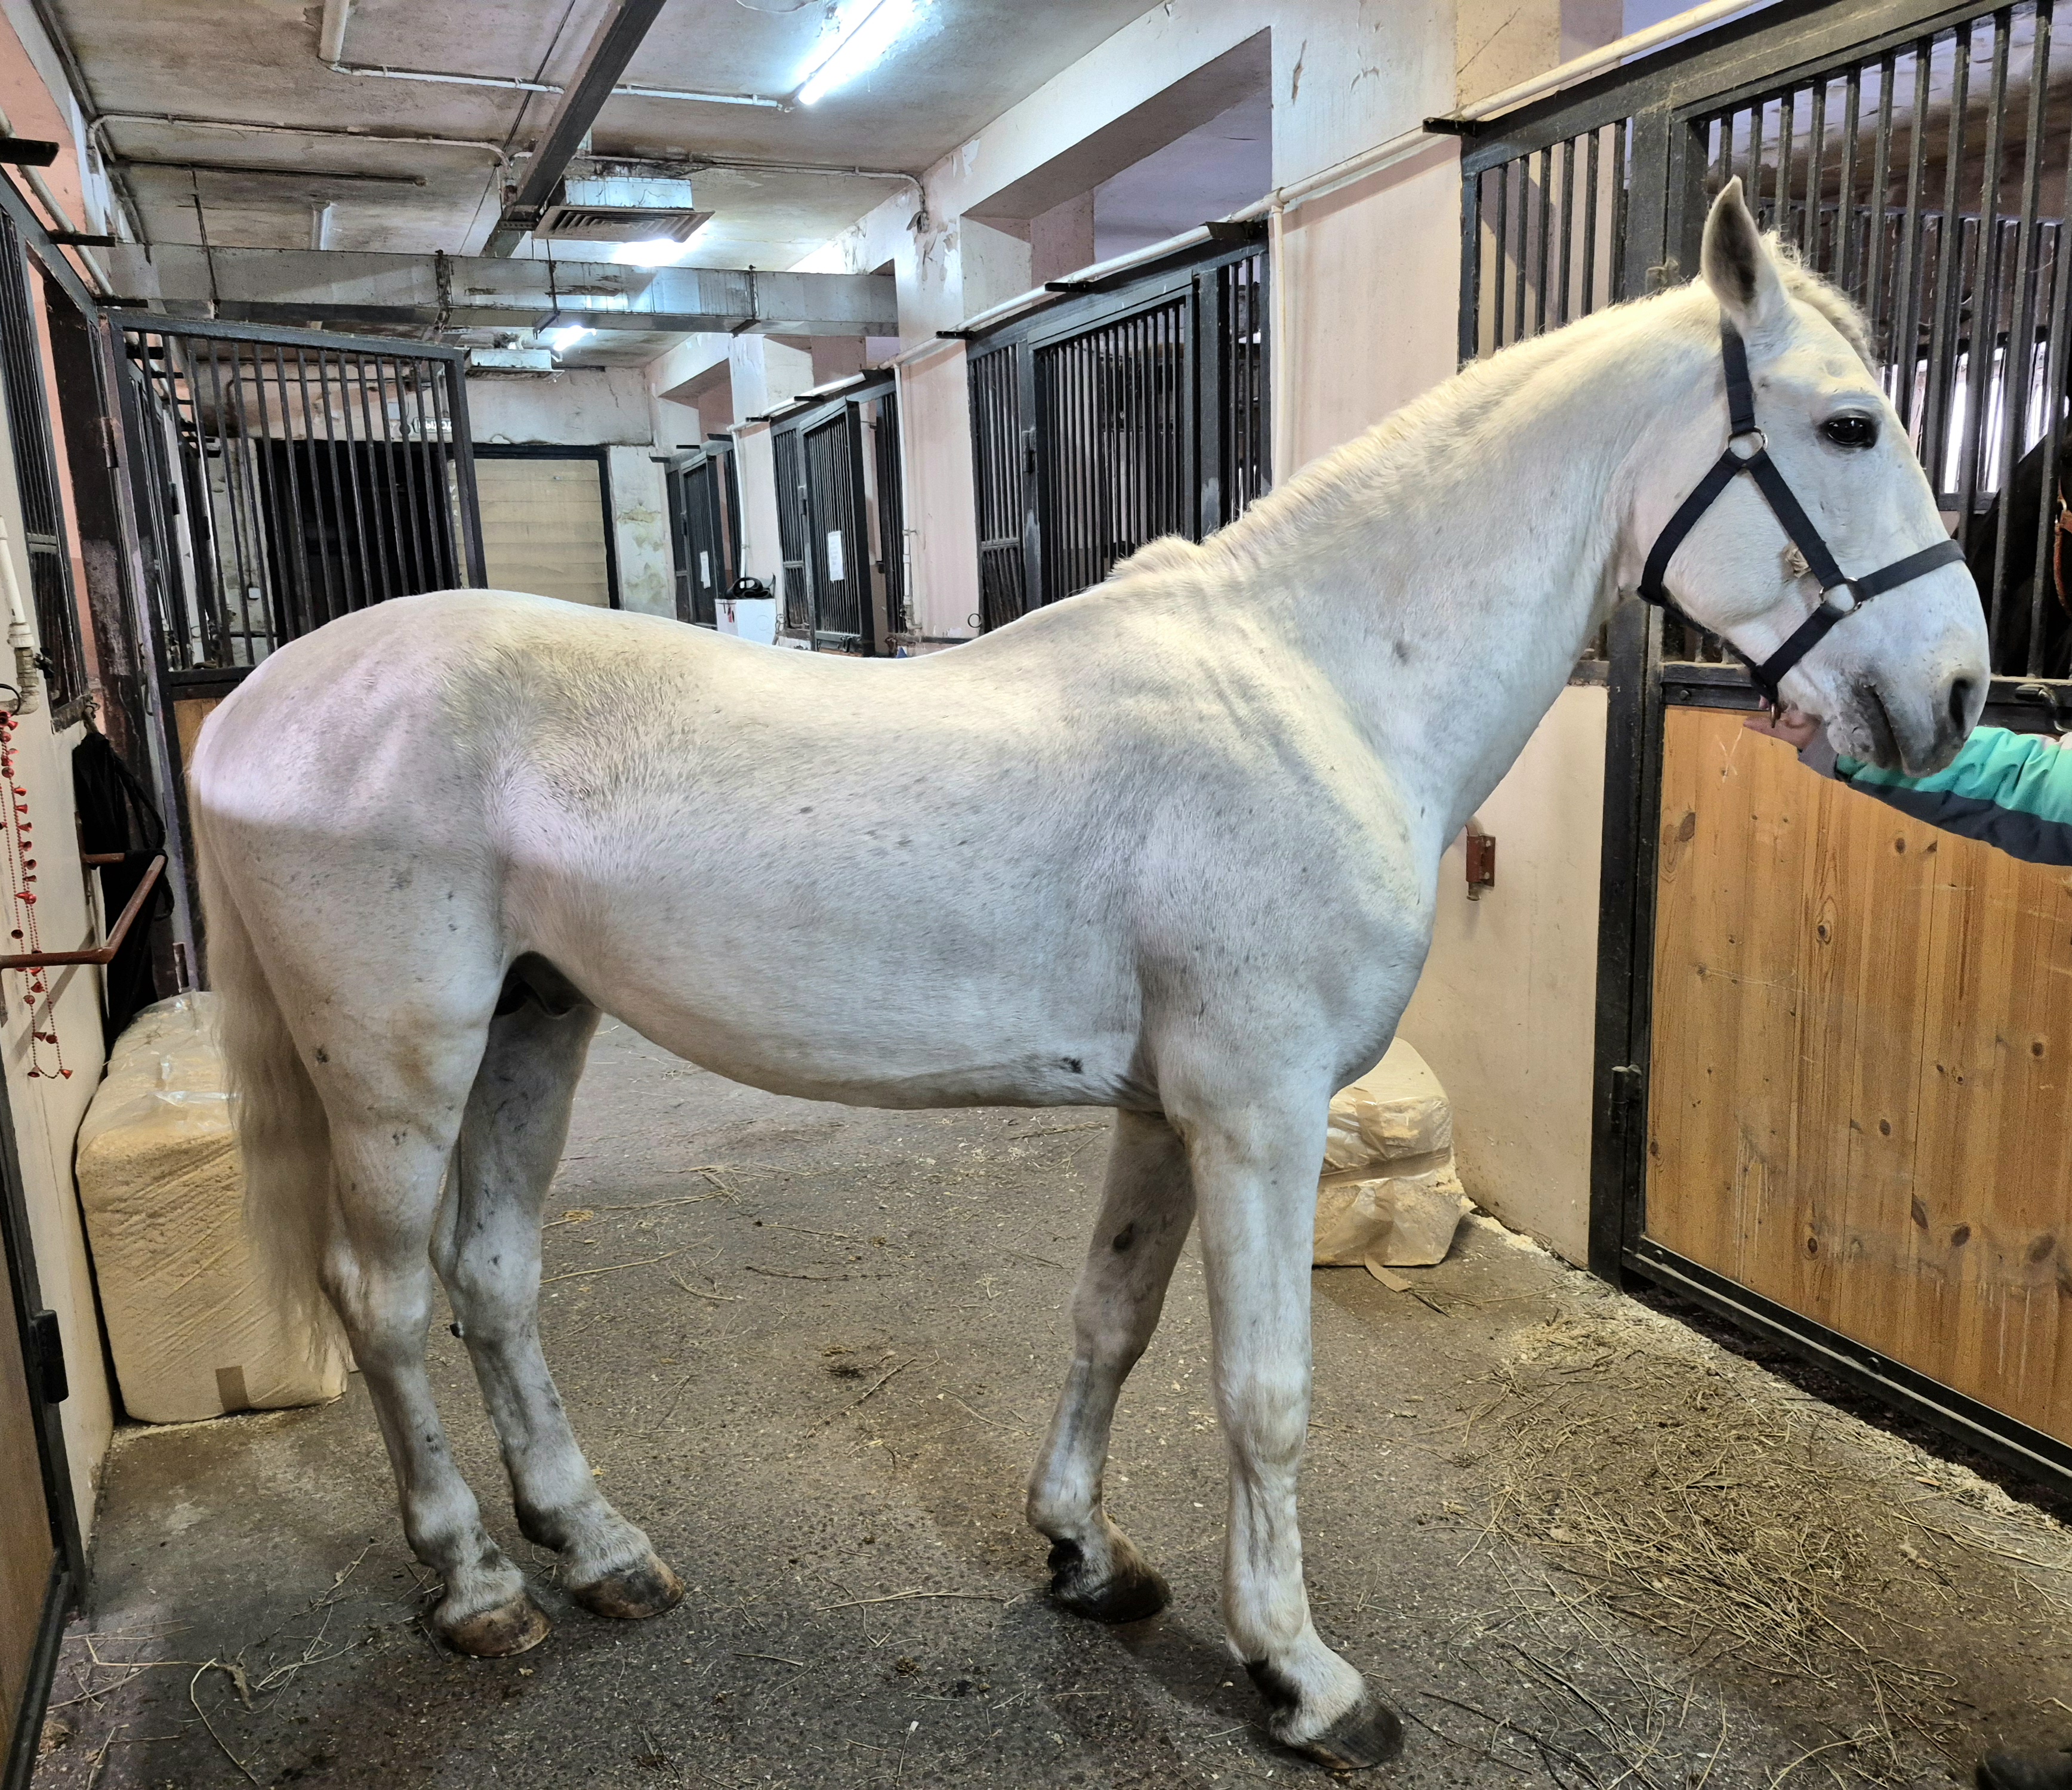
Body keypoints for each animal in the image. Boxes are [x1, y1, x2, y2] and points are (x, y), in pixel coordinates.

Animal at [189, 181, 1988, 1772]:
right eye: (1849, 426)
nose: (1958, 692)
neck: (1321, 682)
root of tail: (263, 702)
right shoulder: (1257, 1115)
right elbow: (1264, 1392)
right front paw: (1307, 1679)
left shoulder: (1164, 1112)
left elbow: (1110, 1319)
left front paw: (1086, 1555)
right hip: (400, 1067)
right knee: (384, 1299)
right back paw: (478, 1584)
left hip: (535, 1023)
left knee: (493, 1280)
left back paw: (599, 1546)